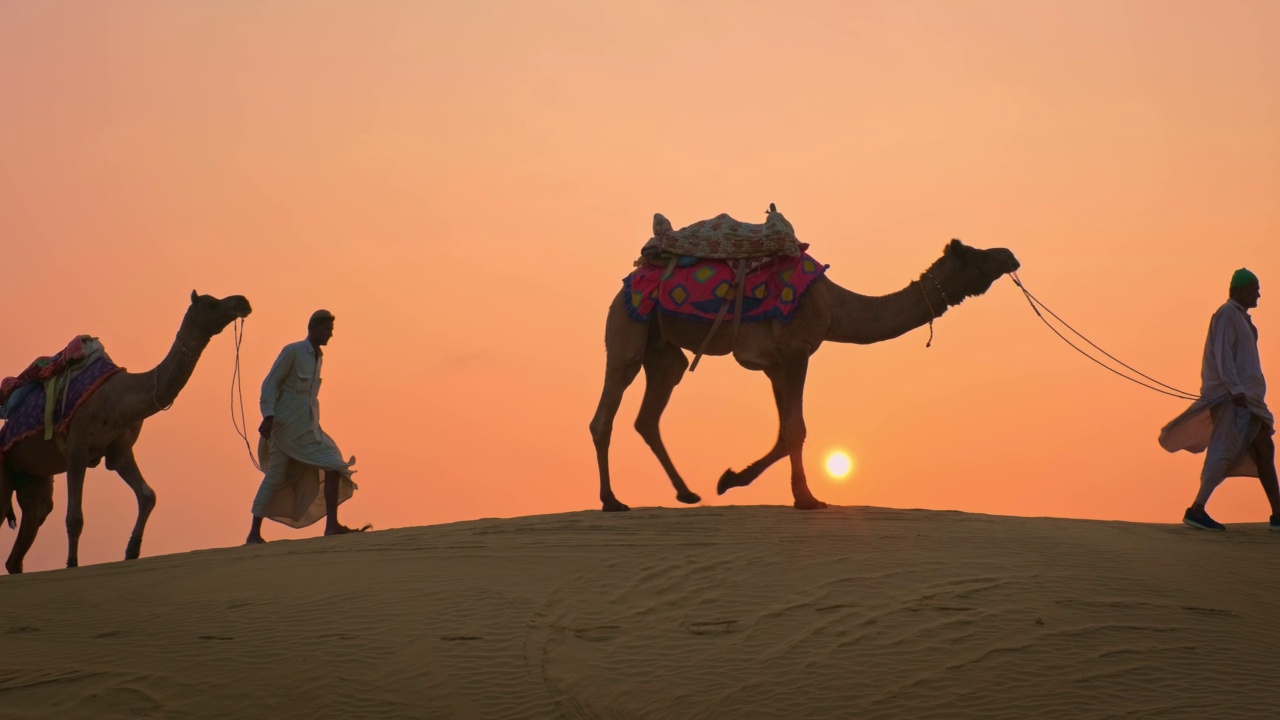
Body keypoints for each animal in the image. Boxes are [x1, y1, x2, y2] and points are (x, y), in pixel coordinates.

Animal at [0, 288, 252, 568]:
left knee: (31, 524)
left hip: (33, 478)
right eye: (210, 304)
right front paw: (72, 563)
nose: (242, 301)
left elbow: (148, 495)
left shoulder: (119, 452)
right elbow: (74, 518)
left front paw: (132, 550)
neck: (121, 398)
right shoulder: (77, 450)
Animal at [588, 239, 1018, 509]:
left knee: (649, 414)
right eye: (978, 256)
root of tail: (631, 278)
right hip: (627, 325)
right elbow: (797, 429)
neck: (834, 305)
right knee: (606, 410)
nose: (1010, 255)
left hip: (663, 350)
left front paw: (735, 481)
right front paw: (805, 499)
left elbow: (785, 432)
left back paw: (687, 494)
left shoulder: (777, 364)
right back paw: (612, 501)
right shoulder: (798, 350)